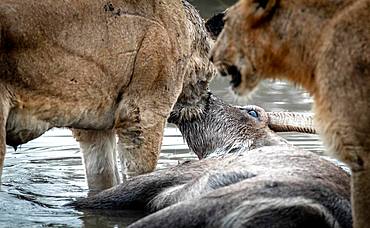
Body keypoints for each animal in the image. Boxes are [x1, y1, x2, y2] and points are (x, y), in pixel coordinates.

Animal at [0, 0, 215, 194]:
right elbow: (140, 173)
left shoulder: (93, 128)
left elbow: (103, 176)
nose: (208, 97)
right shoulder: (143, 113)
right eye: (209, 77)